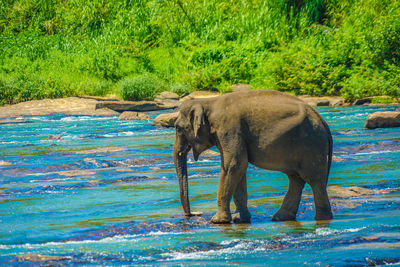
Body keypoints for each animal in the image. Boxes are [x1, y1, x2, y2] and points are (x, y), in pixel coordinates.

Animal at [173, 90, 332, 224]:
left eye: (177, 128)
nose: (190, 214)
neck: (208, 102)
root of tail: (321, 119)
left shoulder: (229, 129)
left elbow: (234, 165)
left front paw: (217, 221)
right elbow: (238, 168)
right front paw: (239, 219)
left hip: (312, 144)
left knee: (313, 179)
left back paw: (322, 218)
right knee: (296, 179)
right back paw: (281, 218)